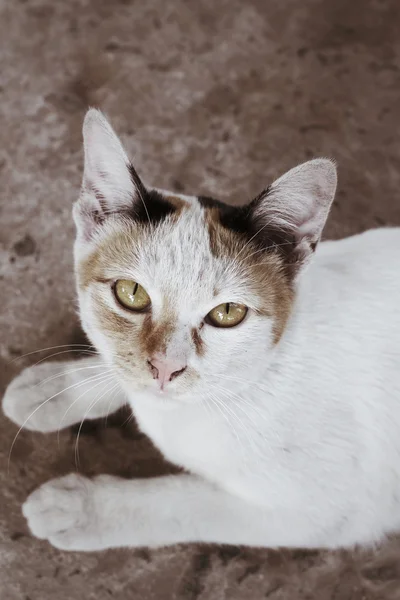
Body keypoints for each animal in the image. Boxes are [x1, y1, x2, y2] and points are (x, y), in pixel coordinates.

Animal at [3, 109, 400, 552]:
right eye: (131, 293)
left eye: (228, 312)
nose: (164, 367)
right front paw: (54, 388)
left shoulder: (325, 512)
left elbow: (180, 502)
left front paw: (80, 508)